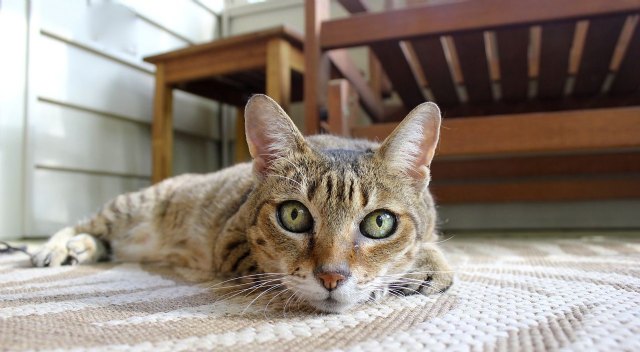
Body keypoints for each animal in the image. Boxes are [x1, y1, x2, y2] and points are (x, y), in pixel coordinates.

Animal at [32, 94, 456, 314]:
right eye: (294, 215)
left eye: (379, 223)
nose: (332, 277)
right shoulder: (231, 242)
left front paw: (426, 265)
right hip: (130, 206)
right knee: (85, 224)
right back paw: (56, 248)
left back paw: (82, 250)